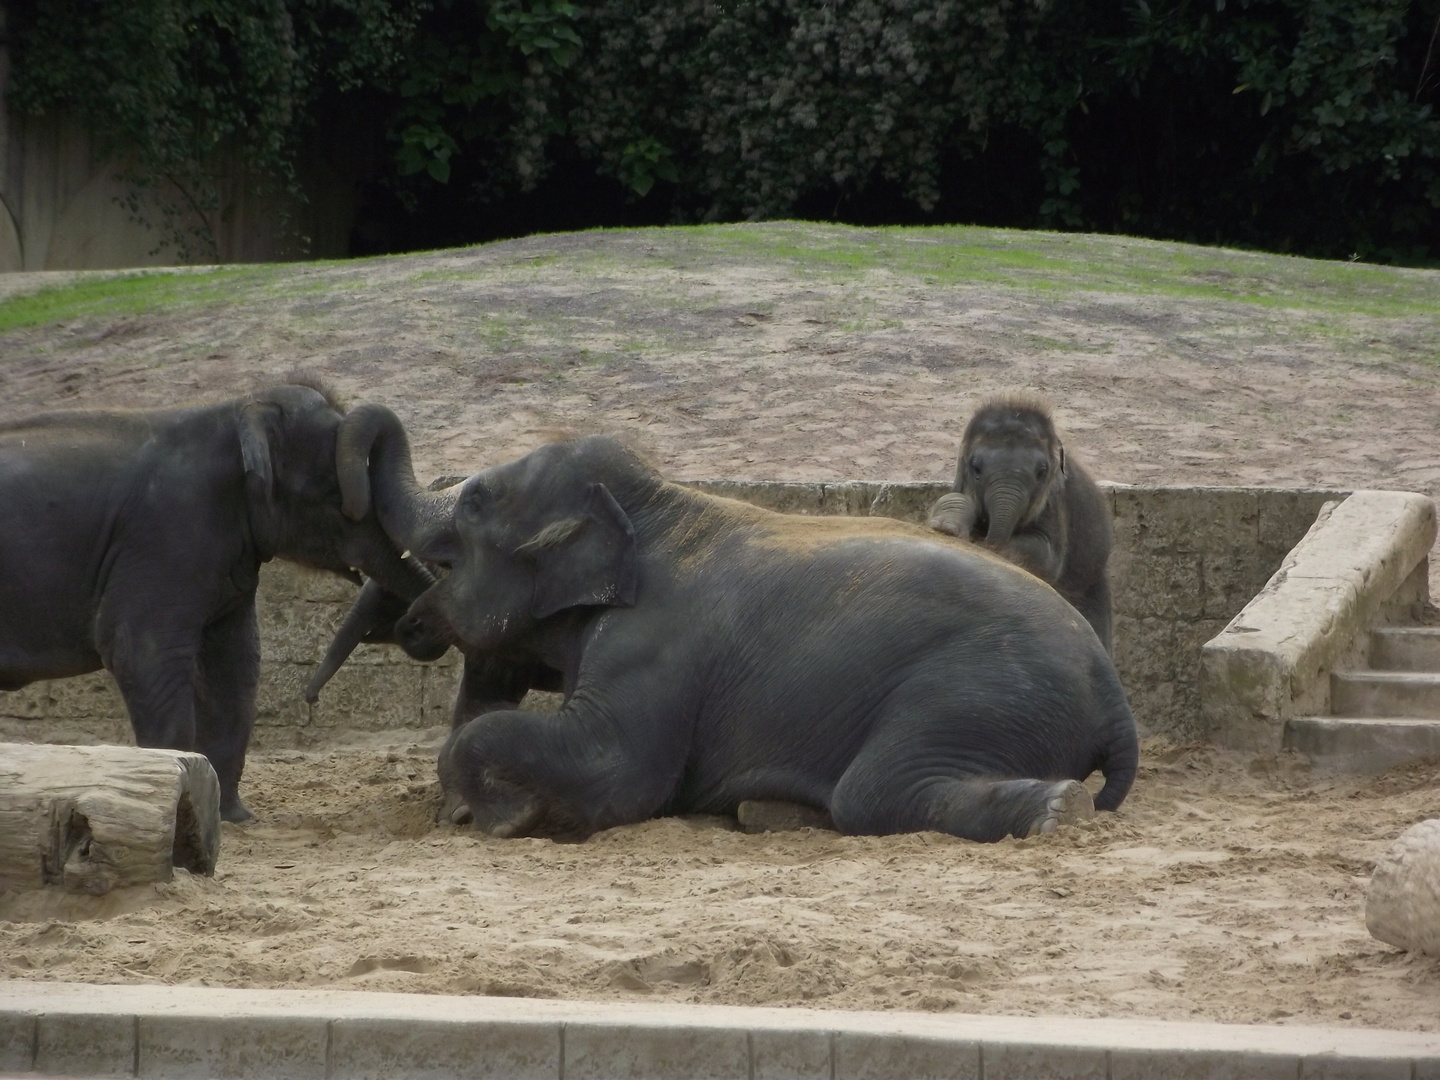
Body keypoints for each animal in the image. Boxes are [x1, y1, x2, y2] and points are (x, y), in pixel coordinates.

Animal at [0, 385, 432, 823]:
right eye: (332, 497)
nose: (310, 698)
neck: (235, 412)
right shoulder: (166, 534)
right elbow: (141, 653)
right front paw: (180, 808)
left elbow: (237, 661)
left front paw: (234, 818)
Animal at [927, 394, 1117, 656]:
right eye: (976, 468)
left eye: (1042, 472)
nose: (984, 540)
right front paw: (947, 526)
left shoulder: (1055, 505)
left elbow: (1045, 555)